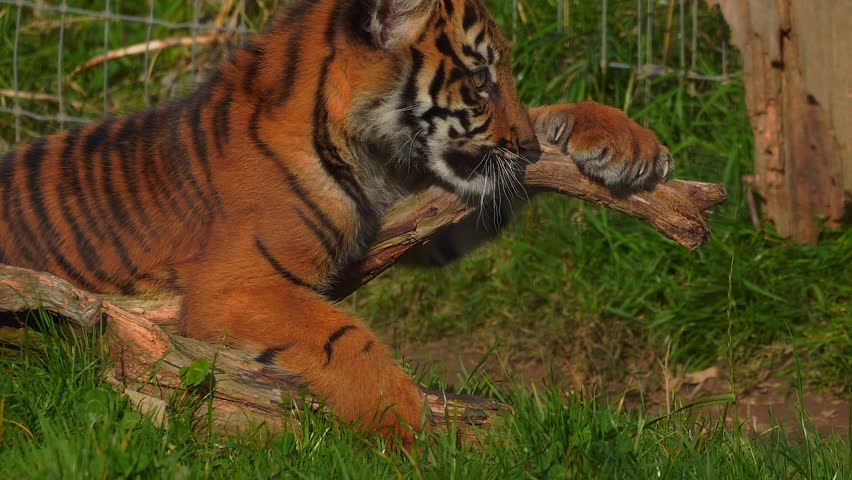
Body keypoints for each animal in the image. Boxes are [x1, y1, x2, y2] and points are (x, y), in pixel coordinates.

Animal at [0, 0, 672, 444]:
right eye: (480, 81)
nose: (530, 150)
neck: (368, 148)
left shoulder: (418, 213)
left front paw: (626, 143)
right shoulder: (239, 285)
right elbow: (345, 342)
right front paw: (413, 433)